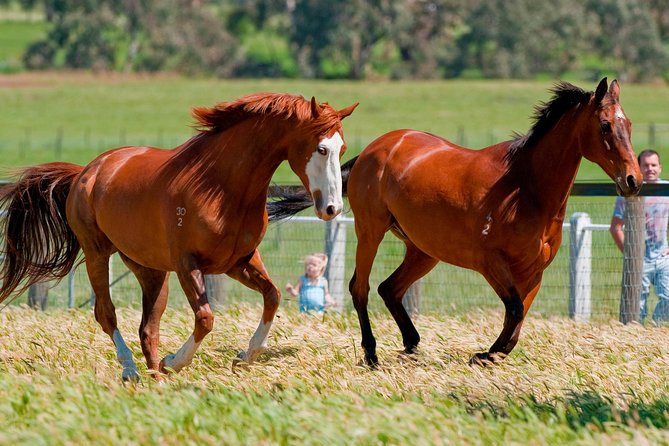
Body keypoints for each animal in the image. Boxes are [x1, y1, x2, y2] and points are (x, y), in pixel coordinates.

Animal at [0, 93, 358, 381]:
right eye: (322, 148)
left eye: (342, 148)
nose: (332, 207)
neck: (221, 186)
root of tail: (86, 172)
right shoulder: (189, 265)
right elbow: (206, 318)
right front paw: (176, 362)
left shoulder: (238, 261)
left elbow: (273, 296)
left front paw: (245, 357)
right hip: (97, 254)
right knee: (106, 313)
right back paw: (131, 370)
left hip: (151, 271)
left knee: (148, 328)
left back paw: (156, 379)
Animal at [268, 78, 641, 366]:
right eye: (605, 125)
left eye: (629, 125)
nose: (633, 180)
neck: (523, 188)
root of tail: (373, 150)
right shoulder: (491, 263)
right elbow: (514, 309)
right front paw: (484, 354)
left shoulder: (534, 272)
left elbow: (518, 318)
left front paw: (493, 354)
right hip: (370, 232)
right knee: (360, 288)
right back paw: (372, 353)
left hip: (423, 250)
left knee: (390, 288)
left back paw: (411, 344)